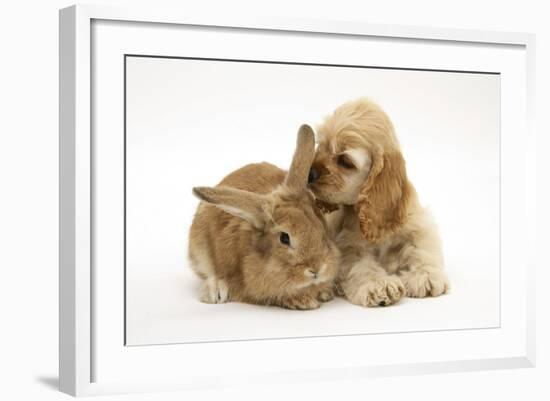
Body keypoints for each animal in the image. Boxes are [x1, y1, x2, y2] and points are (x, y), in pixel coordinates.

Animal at [308, 97, 450, 306]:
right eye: (321, 147)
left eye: (345, 161)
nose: (310, 174)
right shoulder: (349, 245)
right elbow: (362, 265)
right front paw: (379, 284)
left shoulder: (419, 224)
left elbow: (422, 249)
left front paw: (425, 276)